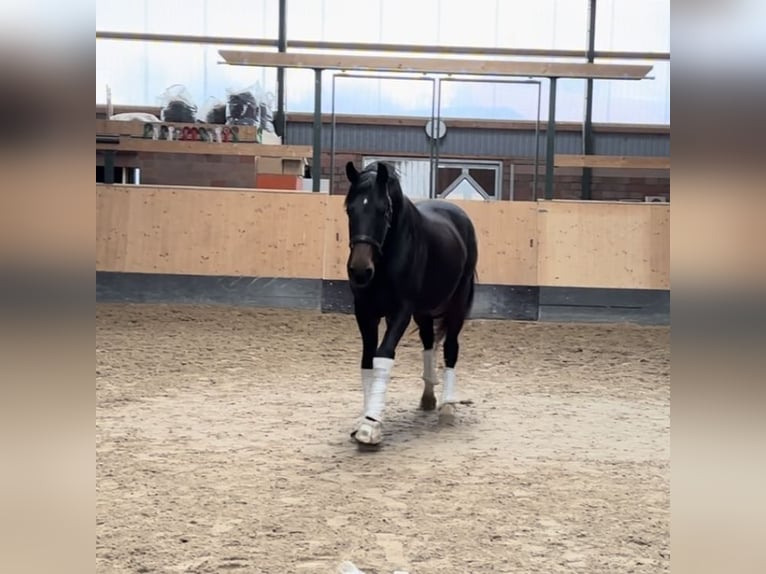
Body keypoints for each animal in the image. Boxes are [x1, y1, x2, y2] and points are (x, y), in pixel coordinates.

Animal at [344, 162, 476, 450]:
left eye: (383, 210)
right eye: (349, 209)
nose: (360, 271)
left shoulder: (401, 312)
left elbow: (383, 355)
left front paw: (371, 426)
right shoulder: (365, 312)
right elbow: (367, 360)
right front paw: (363, 420)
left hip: (457, 305)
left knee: (450, 348)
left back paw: (448, 408)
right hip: (423, 311)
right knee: (428, 341)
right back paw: (428, 397)